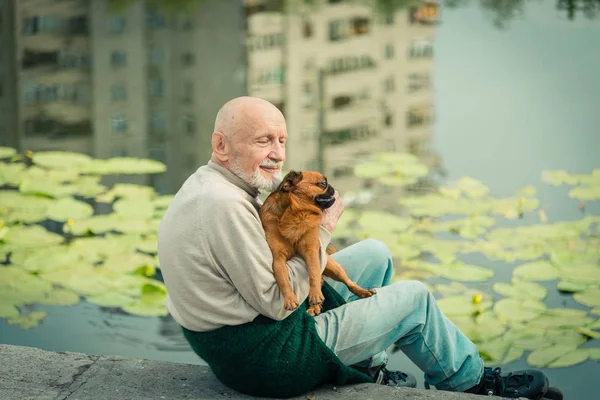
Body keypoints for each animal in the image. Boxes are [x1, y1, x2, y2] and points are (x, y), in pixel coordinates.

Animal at [258, 170, 376, 318]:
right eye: (323, 183)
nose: (332, 187)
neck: (296, 213)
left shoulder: (311, 252)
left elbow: (313, 273)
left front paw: (315, 296)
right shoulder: (278, 260)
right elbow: (284, 281)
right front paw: (290, 299)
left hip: (334, 267)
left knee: (347, 282)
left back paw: (362, 292)